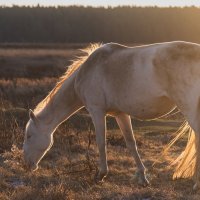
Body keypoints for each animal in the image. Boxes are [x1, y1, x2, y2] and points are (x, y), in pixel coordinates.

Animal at [23, 41, 200, 189]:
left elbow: (101, 143)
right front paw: (142, 177)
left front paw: (101, 175)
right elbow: (131, 143)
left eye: (29, 136)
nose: (27, 165)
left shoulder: (97, 111)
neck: (88, 71)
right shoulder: (120, 114)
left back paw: (196, 183)